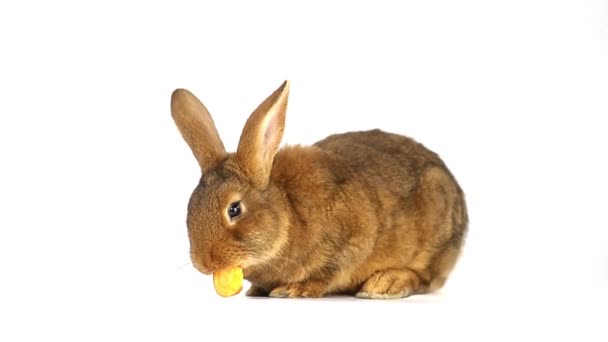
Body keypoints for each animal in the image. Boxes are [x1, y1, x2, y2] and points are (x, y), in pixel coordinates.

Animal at [169, 81, 468, 298]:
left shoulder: (349, 241)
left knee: (425, 279)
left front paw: (294, 290)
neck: (288, 208)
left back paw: (386, 284)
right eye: (190, 208)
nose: (204, 263)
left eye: (234, 209)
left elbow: (327, 273)